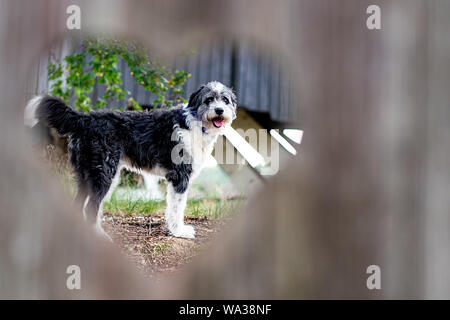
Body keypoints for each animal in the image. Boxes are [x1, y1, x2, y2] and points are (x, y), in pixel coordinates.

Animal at [25, 81, 237, 239]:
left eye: (225, 100)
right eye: (209, 99)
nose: (219, 110)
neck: (195, 123)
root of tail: (84, 119)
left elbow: (172, 207)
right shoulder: (180, 177)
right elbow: (178, 208)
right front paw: (179, 232)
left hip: (86, 175)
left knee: (78, 205)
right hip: (103, 175)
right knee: (91, 208)